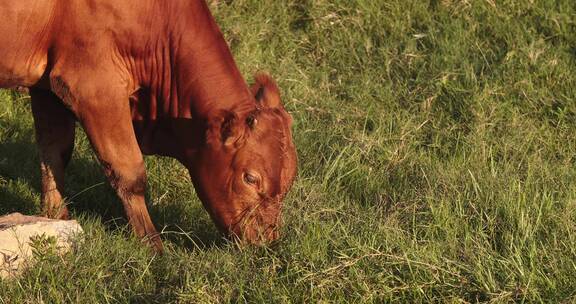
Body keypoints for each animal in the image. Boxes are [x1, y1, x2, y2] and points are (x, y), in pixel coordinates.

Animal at [0, 0, 296, 252]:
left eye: (289, 181)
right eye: (250, 178)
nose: (265, 240)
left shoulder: (47, 86)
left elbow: (54, 153)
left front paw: (56, 218)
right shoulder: (92, 87)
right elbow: (130, 172)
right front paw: (151, 243)